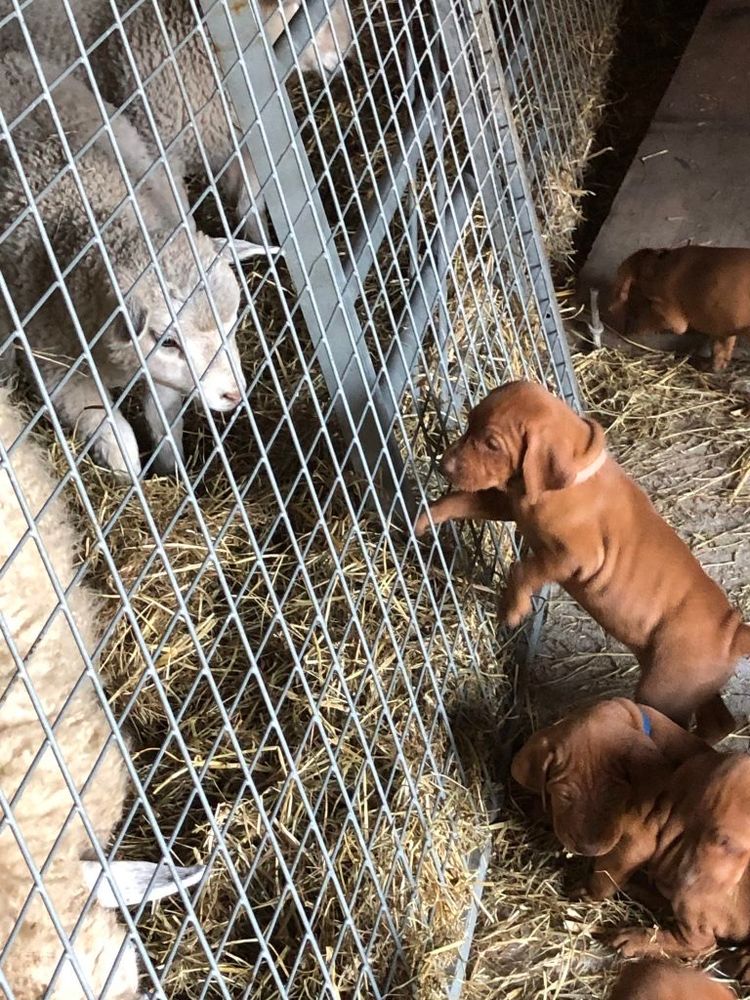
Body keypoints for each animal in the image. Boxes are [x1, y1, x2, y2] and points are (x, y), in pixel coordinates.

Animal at [0, 47, 267, 475]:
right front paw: (132, 478)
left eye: (232, 322)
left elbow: (164, 417)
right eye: (168, 341)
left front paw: (173, 468)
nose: (234, 395)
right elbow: (116, 435)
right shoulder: (58, 367)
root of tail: (10, 61)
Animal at [19, 0, 353, 240]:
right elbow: (184, 221)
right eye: (296, 8)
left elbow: (250, 206)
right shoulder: (157, 152)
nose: (345, 54)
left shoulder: (243, 135)